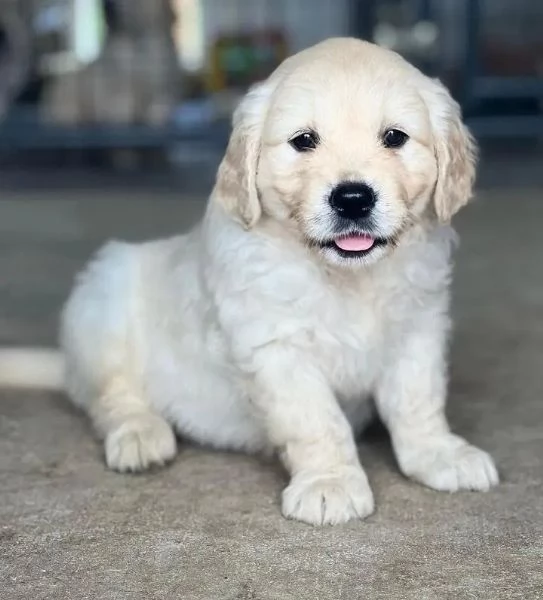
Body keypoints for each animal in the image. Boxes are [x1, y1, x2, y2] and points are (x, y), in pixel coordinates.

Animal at [1, 38, 502, 524]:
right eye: (304, 141)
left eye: (395, 137)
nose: (353, 199)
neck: (343, 276)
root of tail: (67, 363)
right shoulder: (276, 347)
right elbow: (316, 419)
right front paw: (329, 483)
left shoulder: (418, 327)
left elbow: (418, 400)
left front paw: (439, 453)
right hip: (105, 294)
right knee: (111, 396)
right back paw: (140, 435)